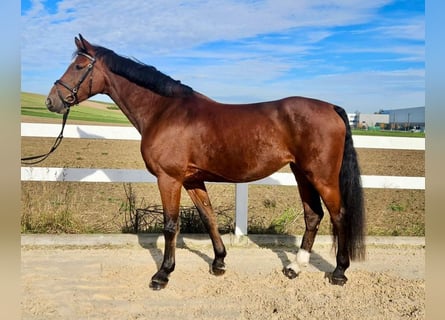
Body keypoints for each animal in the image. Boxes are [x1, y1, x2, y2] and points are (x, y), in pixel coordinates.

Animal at [45, 35, 364, 290]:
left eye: (78, 67)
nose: (51, 101)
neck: (164, 111)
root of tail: (331, 108)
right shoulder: (193, 180)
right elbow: (208, 217)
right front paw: (219, 262)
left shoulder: (169, 179)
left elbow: (171, 226)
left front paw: (162, 274)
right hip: (301, 173)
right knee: (313, 215)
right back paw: (295, 267)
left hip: (322, 176)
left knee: (338, 215)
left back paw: (339, 271)